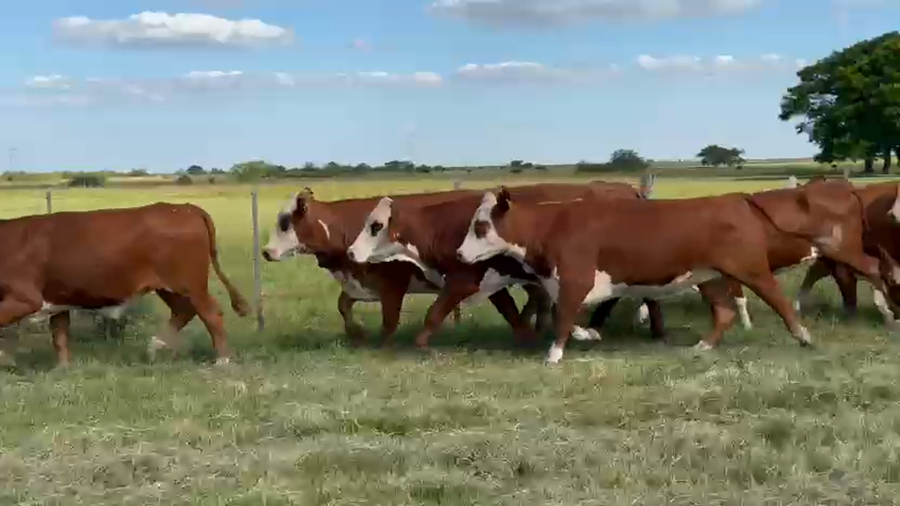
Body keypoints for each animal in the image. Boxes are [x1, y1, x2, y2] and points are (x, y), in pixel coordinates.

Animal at [0, 203, 250, 368]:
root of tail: (186, 208)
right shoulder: (58, 300)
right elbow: (59, 336)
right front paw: (63, 369)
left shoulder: (25, 299)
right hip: (169, 287)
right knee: (184, 311)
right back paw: (154, 347)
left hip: (190, 283)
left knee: (210, 312)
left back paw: (222, 360)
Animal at [261, 187, 554, 347]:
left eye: (285, 222)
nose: (265, 251)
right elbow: (343, 305)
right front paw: (357, 333)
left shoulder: (394, 285)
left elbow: (392, 320)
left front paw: (384, 345)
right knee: (539, 301)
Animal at [345, 181, 668, 349]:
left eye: (375, 226)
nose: (350, 252)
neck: (445, 228)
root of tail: (628, 190)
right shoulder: (491, 282)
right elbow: (511, 311)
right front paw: (527, 336)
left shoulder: (462, 280)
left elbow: (434, 314)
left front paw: (421, 344)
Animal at [455, 179, 890, 364]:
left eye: (482, 225)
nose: (460, 254)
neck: (553, 225)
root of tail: (736, 199)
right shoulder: (569, 284)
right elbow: (570, 318)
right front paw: (588, 335)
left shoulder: (576, 279)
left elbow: (563, 319)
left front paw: (554, 355)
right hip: (710, 277)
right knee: (725, 312)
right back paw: (704, 346)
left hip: (752, 268)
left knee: (783, 299)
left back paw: (807, 335)